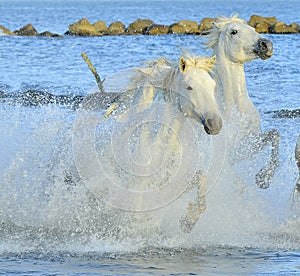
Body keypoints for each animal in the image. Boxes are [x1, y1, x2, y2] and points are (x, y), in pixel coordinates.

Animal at [205, 14, 280, 189]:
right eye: (234, 31)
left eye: (253, 28)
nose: (267, 45)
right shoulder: (228, 156)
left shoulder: (246, 148)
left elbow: (275, 134)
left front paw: (263, 178)